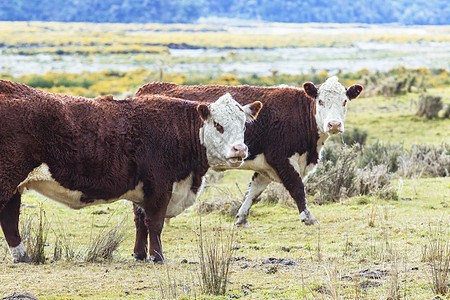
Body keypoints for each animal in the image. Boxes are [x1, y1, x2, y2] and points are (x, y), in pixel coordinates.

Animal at [0, 79, 264, 262]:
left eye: (244, 125)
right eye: (218, 125)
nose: (240, 149)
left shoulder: (143, 189)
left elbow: (141, 222)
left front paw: (139, 254)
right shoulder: (160, 187)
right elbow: (155, 223)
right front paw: (158, 257)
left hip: (14, 186)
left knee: (10, 219)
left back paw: (23, 256)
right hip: (7, 181)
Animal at [133, 77, 362, 239]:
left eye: (344, 101)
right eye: (321, 101)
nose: (334, 124)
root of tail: (147, 89)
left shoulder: (266, 168)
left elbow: (253, 192)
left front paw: (241, 218)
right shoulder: (282, 160)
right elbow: (297, 189)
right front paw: (309, 217)